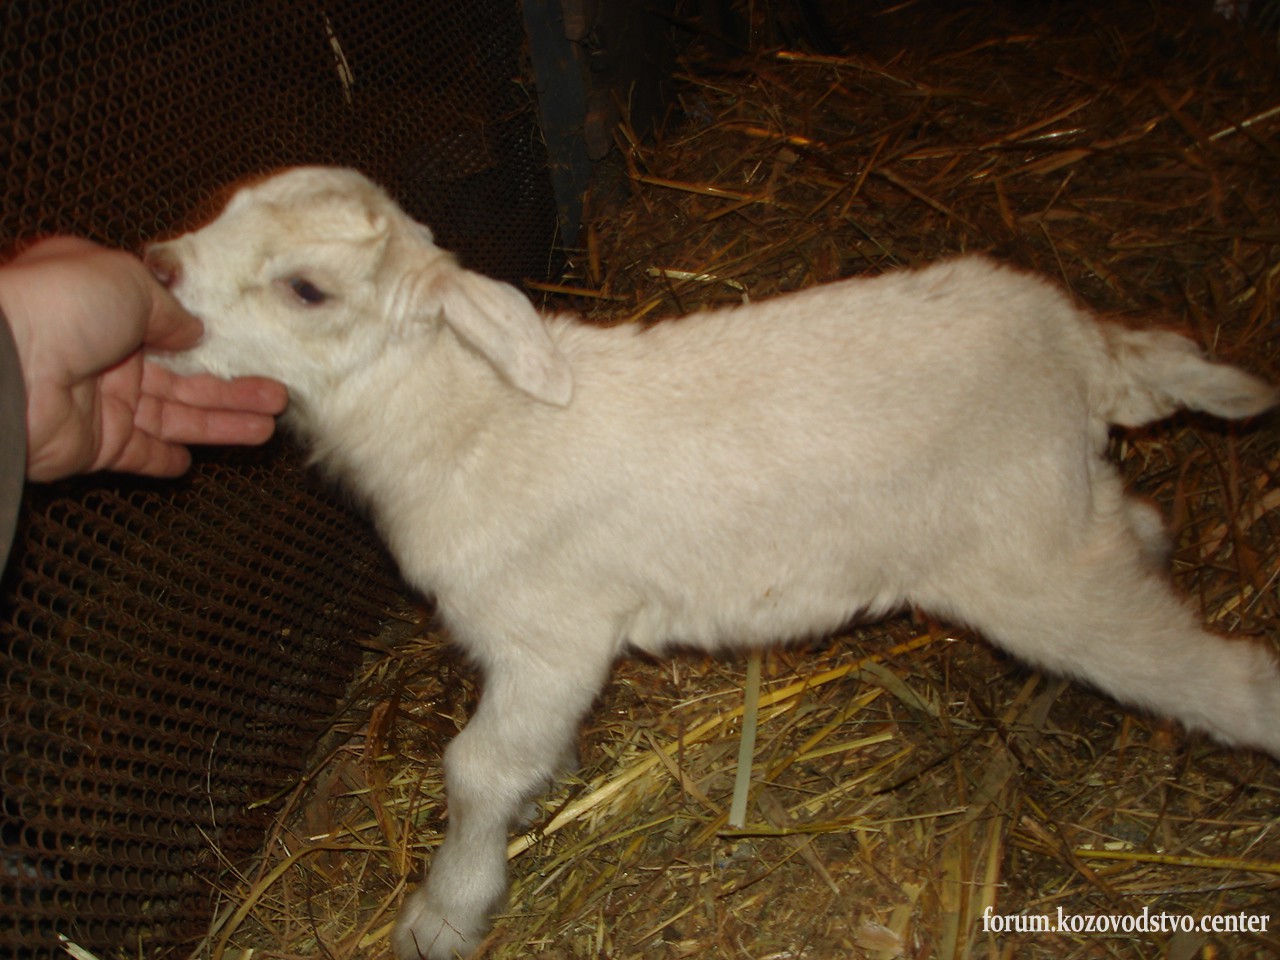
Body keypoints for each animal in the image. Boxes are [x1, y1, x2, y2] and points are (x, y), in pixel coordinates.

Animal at [146, 166, 1280, 960]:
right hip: (1056, 511)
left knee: (1220, 672)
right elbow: (518, 758)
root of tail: (1078, 348)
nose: (156, 272)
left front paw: (444, 911)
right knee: (1137, 526)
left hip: (1032, 570)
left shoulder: (550, 632)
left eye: (306, 289)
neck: (468, 421)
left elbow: (474, 769)